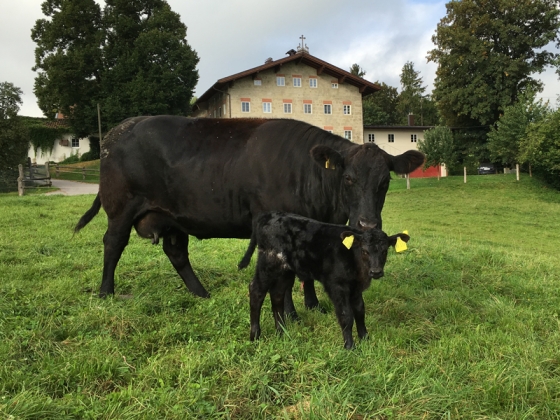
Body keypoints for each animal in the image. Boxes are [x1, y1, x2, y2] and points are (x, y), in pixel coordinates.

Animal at [75, 115, 424, 308]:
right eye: (348, 178)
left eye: (384, 181)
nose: (367, 223)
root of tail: (119, 129)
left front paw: (312, 305)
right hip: (121, 207)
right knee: (113, 243)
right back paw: (106, 292)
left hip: (173, 218)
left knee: (176, 253)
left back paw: (201, 293)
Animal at [238, 212, 410, 350]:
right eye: (365, 251)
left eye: (385, 250)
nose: (376, 271)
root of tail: (270, 215)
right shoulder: (336, 285)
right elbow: (346, 315)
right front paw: (350, 346)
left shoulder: (355, 288)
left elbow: (360, 311)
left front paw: (365, 338)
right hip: (268, 263)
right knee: (256, 290)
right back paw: (255, 336)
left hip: (285, 270)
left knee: (277, 295)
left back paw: (282, 332)